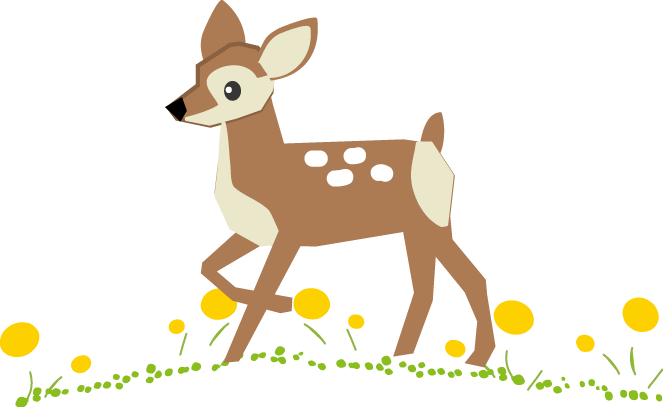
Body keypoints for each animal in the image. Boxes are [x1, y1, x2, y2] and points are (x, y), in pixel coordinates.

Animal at [168, 0, 496, 368]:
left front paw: (232, 357)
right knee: (427, 287)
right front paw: (283, 304)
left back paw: (476, 358)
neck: (265, 172)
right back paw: (399, 356)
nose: (176, 108)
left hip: (434, 221)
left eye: (231, 89)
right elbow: (208, 266)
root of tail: (433, 145)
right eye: (198, 69)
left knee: (471, 278)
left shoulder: (289, 235)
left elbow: (258, 298)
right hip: (415, 229)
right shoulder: (252, 233)